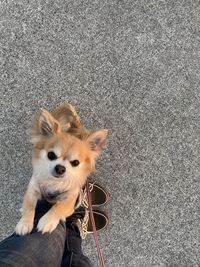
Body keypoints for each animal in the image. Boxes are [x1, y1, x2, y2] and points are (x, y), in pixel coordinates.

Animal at [15, 103, 108, 236]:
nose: (60, 168)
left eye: (75, 163)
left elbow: (58, 208)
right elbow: (29, 206)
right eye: (51, 155)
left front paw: (47, 221)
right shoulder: (32, 189)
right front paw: (24, 223)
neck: (54, 183)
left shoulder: (69, 202)